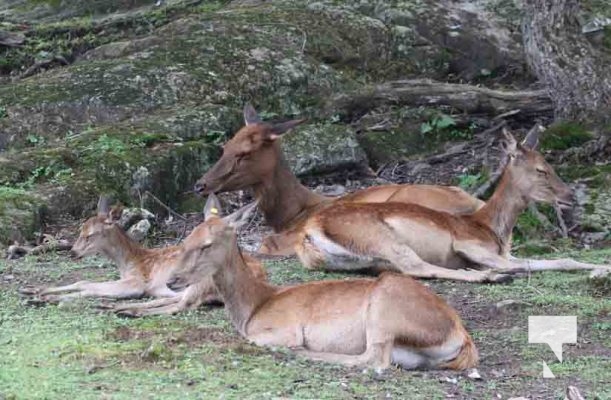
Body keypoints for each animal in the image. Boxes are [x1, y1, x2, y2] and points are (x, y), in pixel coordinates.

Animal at [20, 196, 266, 316]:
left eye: (90, 235)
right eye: (80, 230)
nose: (73, 252)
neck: (128, 262)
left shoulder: (136, 282)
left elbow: (88, 286)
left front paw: (50, 297)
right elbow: (83, 281)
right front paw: (34, 290)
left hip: (202, 278)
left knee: (182, 304)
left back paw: (126, 310)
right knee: (171, 299)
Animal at [170, 193, 480, 372]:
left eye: (207, 245)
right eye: (187, 238)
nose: (173, 279)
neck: (254, 307)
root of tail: (461, 335)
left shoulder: (283, 329)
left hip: (385, 308)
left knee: (374, 359)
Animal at [194, 102, 486, 253]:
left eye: (244, 153)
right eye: (225, 147)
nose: (200, 184)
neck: (290, 214)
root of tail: (477, 206)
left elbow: (266, 243)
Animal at [292, 129, 611, 282]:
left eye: (549, 164)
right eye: (541, 170)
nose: (571, 196)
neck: (493, 230)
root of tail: (308, 233)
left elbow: (561, 260)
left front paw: (602, 266)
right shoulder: (468, 243)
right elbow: (527, 264)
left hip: (366, 258)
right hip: (378, 236)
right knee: (416, 267)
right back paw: (491, 276)